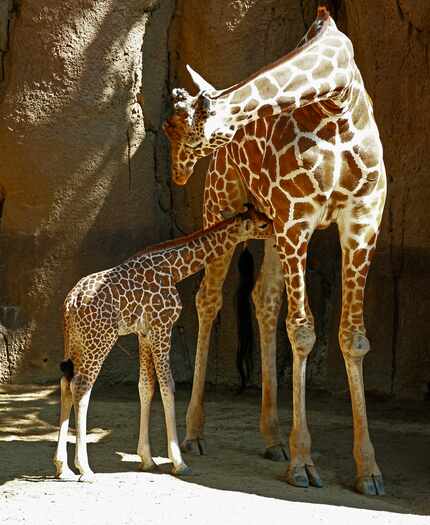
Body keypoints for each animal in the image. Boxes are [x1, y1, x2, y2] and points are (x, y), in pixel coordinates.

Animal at [53, 204, 272, 478]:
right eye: (263, 224)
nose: (275, 229)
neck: (174, 269)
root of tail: (71, 302)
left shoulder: (144, 333)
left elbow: (146, 387)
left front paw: (147, 459)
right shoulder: (162, 327)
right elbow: (168, 386)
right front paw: (178, 462)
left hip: (75, 341)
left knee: (66, 382)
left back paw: (62, 467)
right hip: (100, 339)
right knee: (82, 387)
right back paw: (85, 469)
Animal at [164, 7, 386, 496]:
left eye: (174, 126)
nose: (176, 174)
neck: (338, 99)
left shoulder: (362, 219)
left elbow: (353, 337)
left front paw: (369, 469)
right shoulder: (297, 219)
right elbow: (302, 332)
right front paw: (304, 462)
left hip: (264, 222)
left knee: (263, 301)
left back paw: (272, 438)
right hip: (223, 204)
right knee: (209, 300)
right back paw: (194, 433)